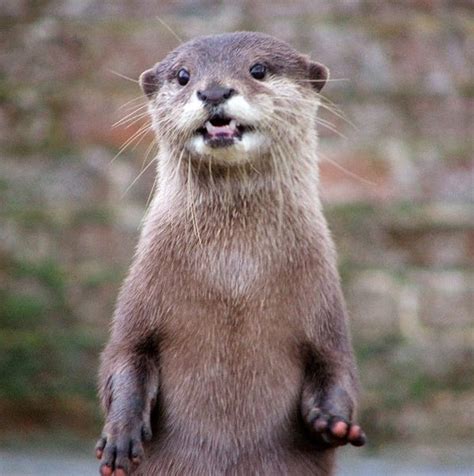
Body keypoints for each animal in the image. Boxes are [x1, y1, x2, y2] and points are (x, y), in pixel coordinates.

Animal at [94, 31, 364, 474]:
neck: (233, 277)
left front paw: (333, 423)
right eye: (183, 75)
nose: (214, 90)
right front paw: (120, 434)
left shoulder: (326, 311)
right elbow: (123, 358)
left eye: (258, 69)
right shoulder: (140, 301)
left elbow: (336, 366)